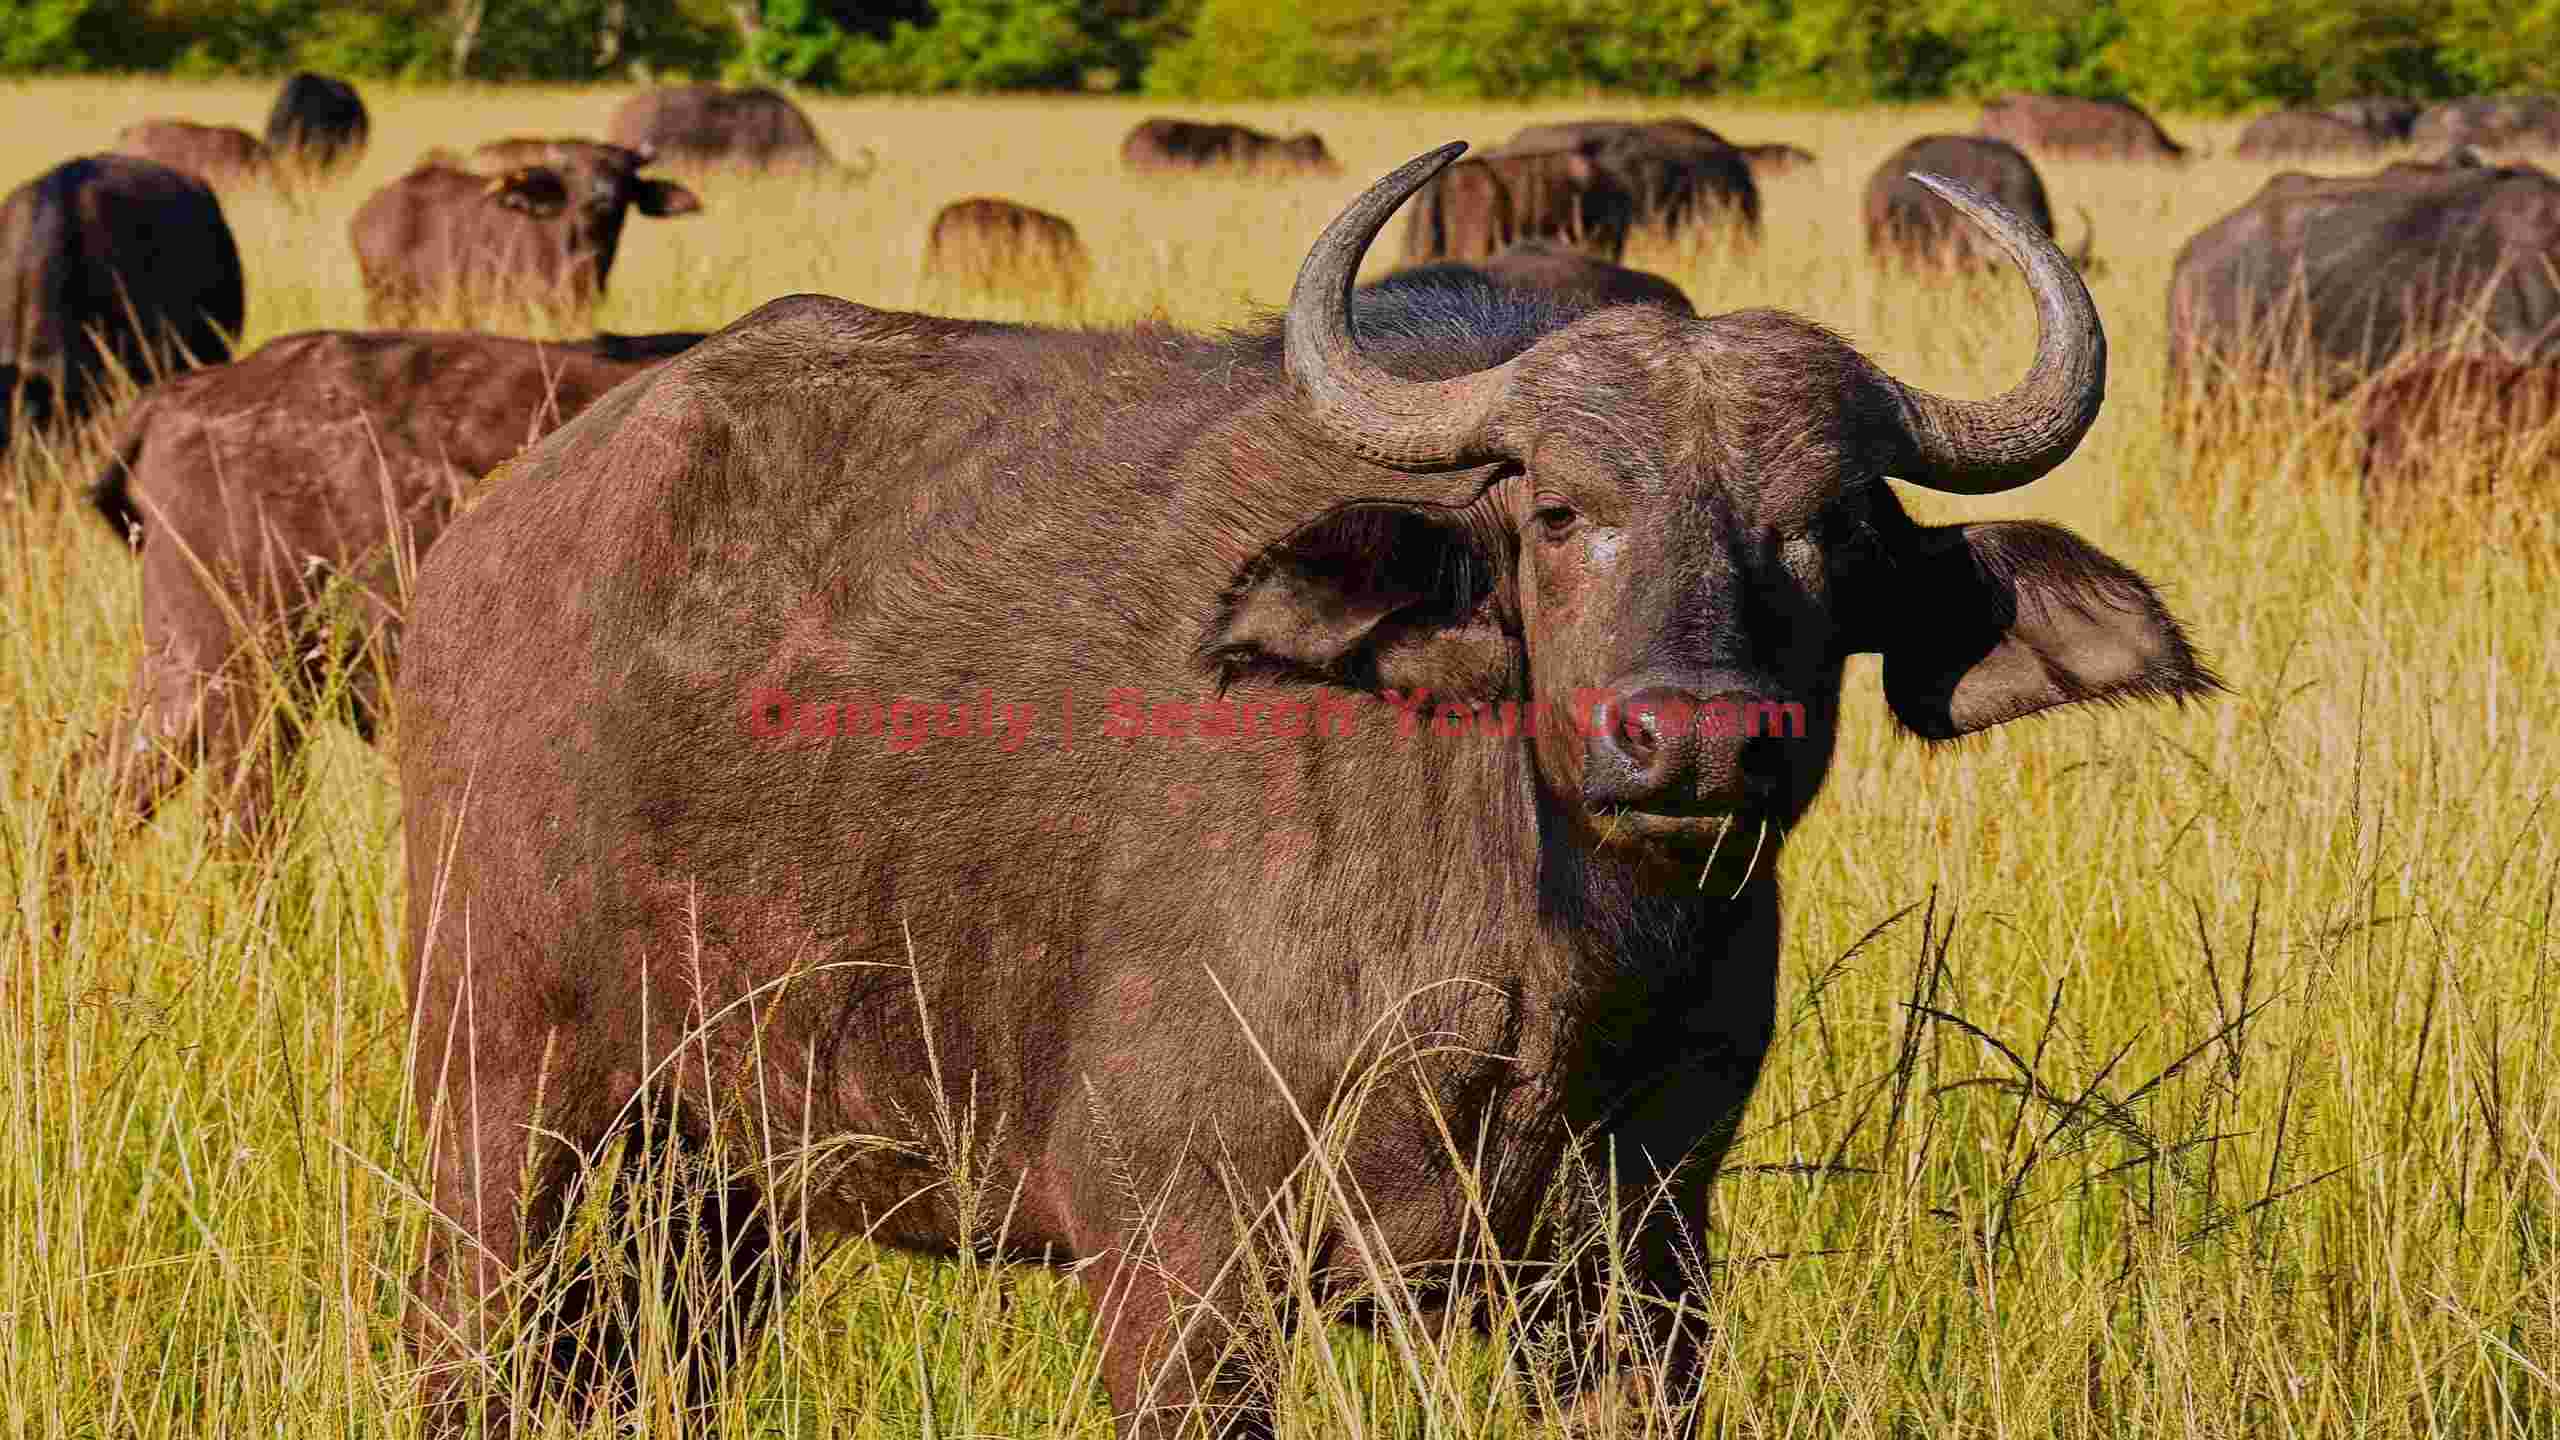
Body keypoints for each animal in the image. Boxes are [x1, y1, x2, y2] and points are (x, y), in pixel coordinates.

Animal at [348, 142, 700, 325]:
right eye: (573, 171)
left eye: (625, 173)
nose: (601, 196)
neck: (580, 257)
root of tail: (366, 212)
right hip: (382, 298)